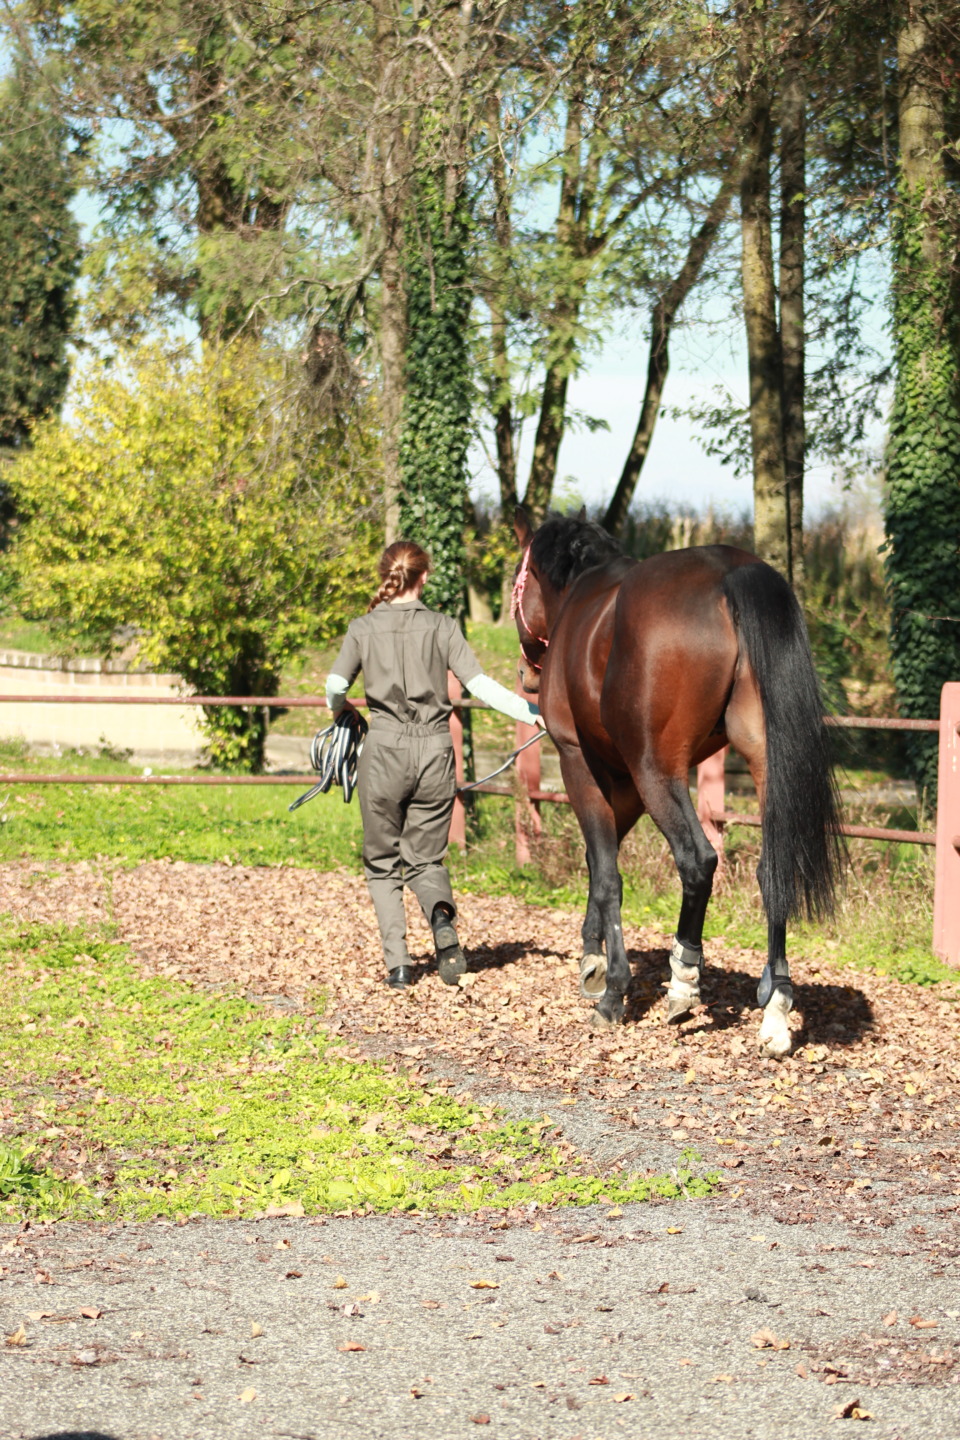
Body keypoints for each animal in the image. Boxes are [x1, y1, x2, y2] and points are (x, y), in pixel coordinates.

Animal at [511, 509, 843, 1058]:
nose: (525, 674)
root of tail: (729, 572)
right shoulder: (623, 784)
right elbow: (598, 861)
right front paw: (591, 955)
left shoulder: (581, 762)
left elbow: (607, 874)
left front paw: (611, 986)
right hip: (762, 764)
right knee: (772, 869)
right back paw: (775, 1005)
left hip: (658, 771)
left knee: (698, 859)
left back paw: (683, 979)